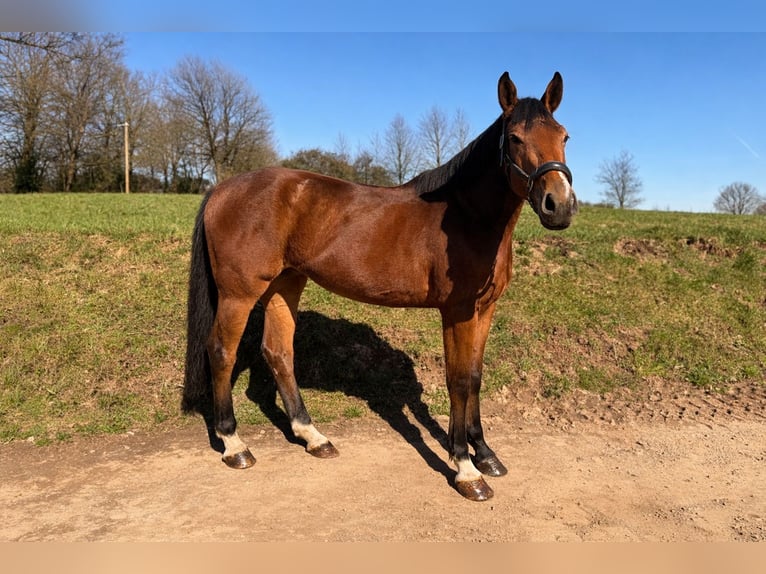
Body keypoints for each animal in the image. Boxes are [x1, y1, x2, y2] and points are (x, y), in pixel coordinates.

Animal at [182, 71, 577, 501]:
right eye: (516, 138)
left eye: (564, 136)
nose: (559, 205)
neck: (467, 216)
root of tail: (222, 189)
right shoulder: (457, 312)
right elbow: (458, 380)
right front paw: (466, 469)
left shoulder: (484, 309)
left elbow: (475, 376)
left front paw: (486, 454)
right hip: (239, 294)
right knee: (222, 352)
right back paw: (234, 445)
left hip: (285, 284)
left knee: (278, 353)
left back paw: (313, 437)